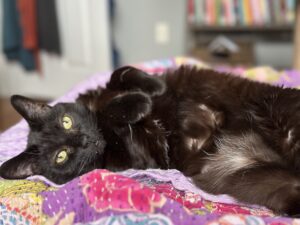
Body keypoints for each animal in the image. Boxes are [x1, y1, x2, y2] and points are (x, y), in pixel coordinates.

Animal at [1, 65, 300, 216]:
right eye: (61, 156)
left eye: (67, 121)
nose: (86, 141)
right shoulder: (137, 155)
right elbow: (113, 113)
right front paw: (139, 104)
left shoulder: (104, 91)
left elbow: (120, 73)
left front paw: (153, 88)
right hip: (254, 179)